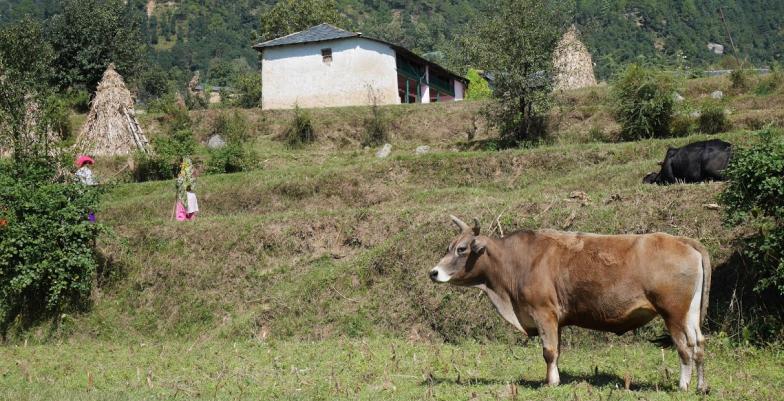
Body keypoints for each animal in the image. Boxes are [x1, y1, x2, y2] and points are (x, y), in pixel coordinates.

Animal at [428, 216, 712, 390]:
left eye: (462, 249)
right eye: (449, 247)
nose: (434, 272)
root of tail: (682, 240)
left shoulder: (543, 312)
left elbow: (548, 351)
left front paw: (551, 382)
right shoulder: (557, 319)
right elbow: (557, 351)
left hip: (673, 313)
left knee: (684, 348)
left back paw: (684, 385)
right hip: (690, 314)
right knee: (698, 344)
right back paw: (701, 386)